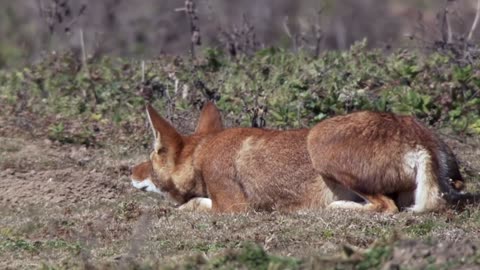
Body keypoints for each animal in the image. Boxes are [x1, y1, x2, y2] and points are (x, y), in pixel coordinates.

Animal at [129, 102, 474, 213]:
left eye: (153, 154)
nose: (131, 172)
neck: (203, 154)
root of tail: (418, 137)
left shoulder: (234, 207)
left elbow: (189, 205)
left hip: (318, 140)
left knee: (385, 207)